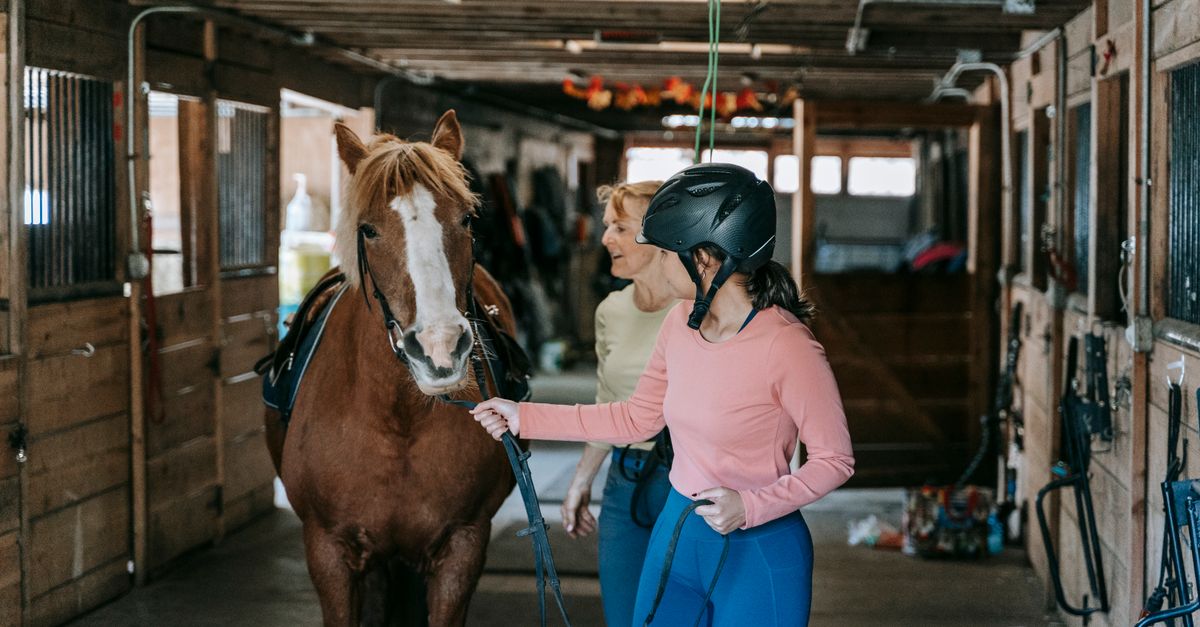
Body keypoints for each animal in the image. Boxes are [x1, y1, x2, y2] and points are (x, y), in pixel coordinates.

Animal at [263, 111, 519, 626]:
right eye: (368, 229)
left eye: (466, 219)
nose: (440, 348)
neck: (398, 418)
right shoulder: (329, 553)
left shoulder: (462, 548)